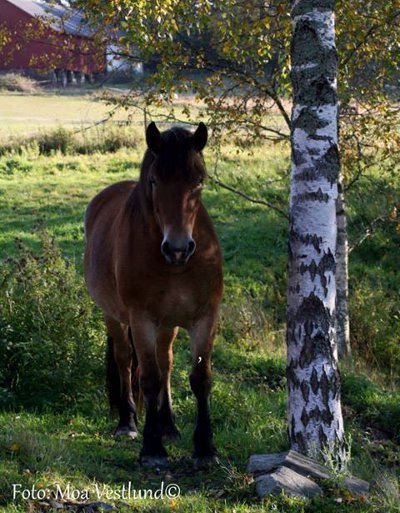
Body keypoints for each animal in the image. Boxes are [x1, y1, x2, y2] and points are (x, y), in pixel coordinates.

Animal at [84, 121, 223, 468]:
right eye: (155, 180)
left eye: (198, 180)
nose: (177, 248)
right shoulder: (142, 319)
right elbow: (148, 378)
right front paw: (152, 448)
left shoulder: (205, 317)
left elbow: (200, 377)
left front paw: (205, 447)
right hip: (115, 317)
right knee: (125, 359)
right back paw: (128, 422)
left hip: (168, 325)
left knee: (167, 363)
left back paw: (169, 426)